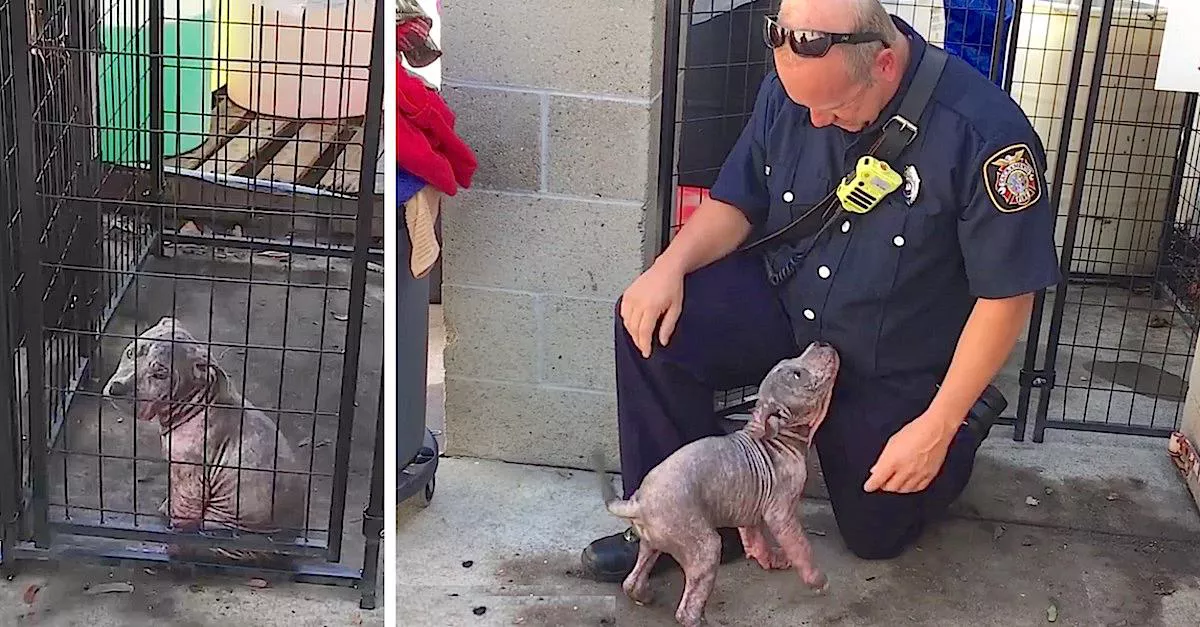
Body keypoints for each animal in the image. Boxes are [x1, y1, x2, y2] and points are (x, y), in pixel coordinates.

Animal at [100, 314, 307, 564]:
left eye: (160, 374)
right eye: (131, 353)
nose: (117, 388)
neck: (197, 401)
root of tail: (286, 547)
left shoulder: (190, 479)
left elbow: (183, 515)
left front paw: (173, 537)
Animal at [588, 341, 835, 624]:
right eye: (797, 374)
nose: (821, 342)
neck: (777, 437)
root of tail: (638, 503)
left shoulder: (751, 506)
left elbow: (755, 538)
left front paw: (770, 558)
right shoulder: (781, 513)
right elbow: (801, 547)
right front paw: (817, 580)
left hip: (651, 542)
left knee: (632, 580)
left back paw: (644, 595)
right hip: (704, 547)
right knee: (686, 609)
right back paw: (699, 620)